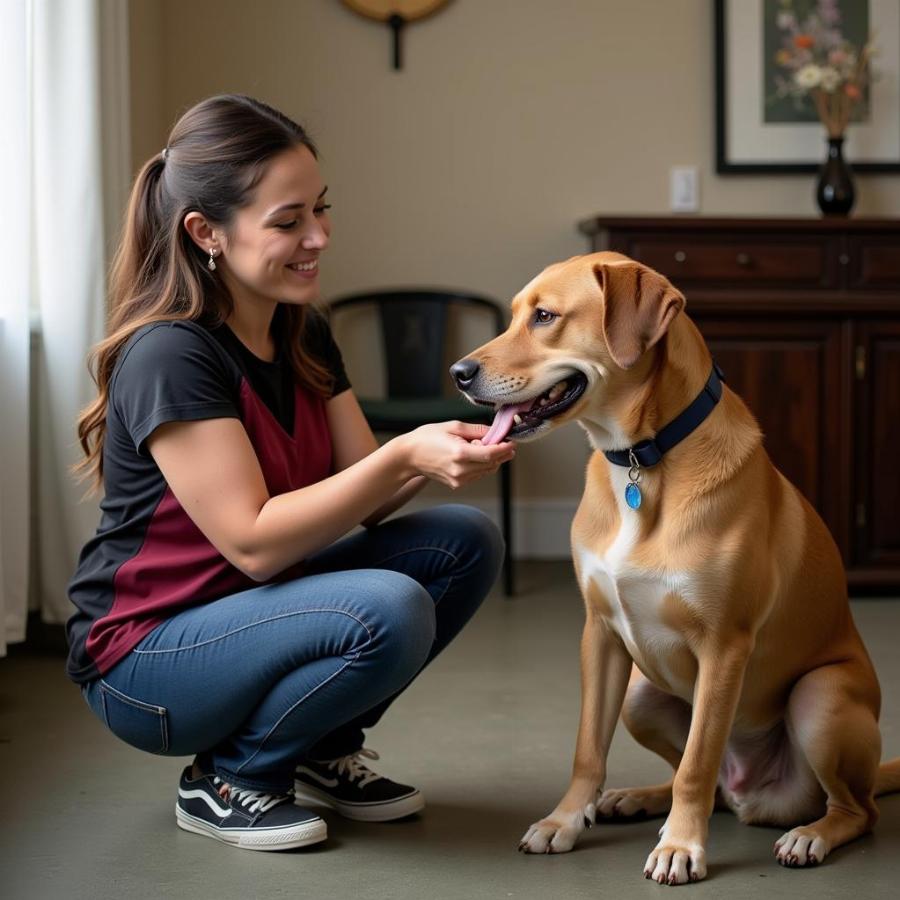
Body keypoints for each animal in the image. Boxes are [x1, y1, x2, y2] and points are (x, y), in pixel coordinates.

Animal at [454, 250, 896, 884]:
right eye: (515, 314)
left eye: (544, 316)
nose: (458, 373)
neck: (644, 459)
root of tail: (754, 794)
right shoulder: (600, 634)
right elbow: (588, 749)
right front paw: (567, 819)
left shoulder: (725, 647)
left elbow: (698, 763)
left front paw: (682, 846)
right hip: (640, 695)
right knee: (713, 788)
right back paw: (638, 799)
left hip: (820, 698)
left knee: (851, 809)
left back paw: (811, 834)